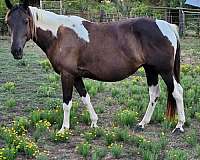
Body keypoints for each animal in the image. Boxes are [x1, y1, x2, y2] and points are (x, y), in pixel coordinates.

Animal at [4, 0, 186, 134]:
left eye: (26, 21)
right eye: (8, 22)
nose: (16, 51)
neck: (59, 35)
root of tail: (166, 26)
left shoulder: (66, 75)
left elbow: (67, 103)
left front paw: (64, 129)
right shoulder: (76, 75)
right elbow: (86, 98)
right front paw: (94, 122)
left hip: (165, 71)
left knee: (176, 92)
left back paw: (179, 126)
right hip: (150, 69)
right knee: (154, 93)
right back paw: (142, 124)